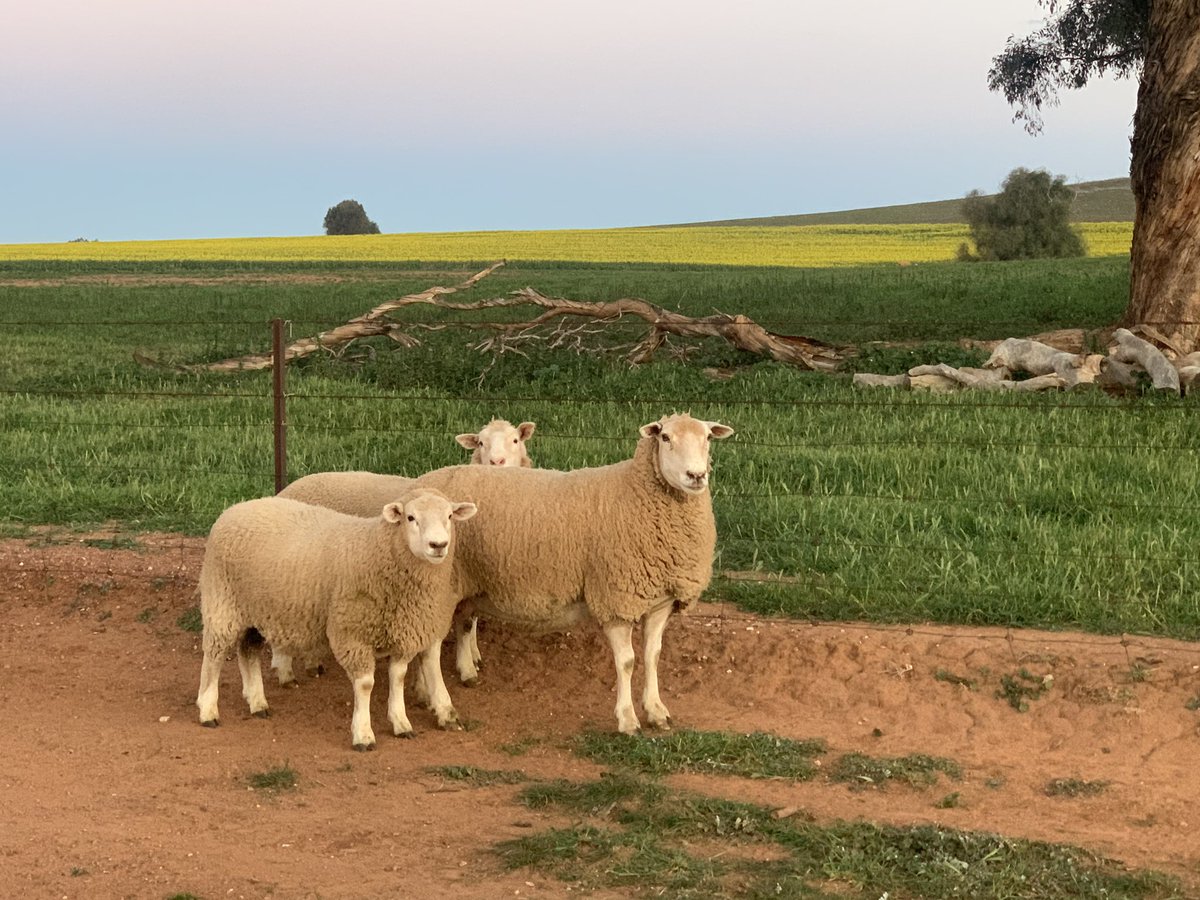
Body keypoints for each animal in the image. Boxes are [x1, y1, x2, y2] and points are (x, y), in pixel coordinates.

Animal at [195, 488, 477, 749]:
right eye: (410, 518)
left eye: (449, 516)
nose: (438, 545)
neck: (378, 549)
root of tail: (236, 507)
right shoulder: (352, 632)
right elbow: (365, 685)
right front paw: (363, 734)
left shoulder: (402, 630)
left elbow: (397, 677)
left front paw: (401, 723)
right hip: (222, 603)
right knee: (214, 656)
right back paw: (208, 710)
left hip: (255, 611)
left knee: (248, 651)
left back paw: (257, 703)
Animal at [410, 413, 734, 734]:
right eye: (665, 437)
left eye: (708, 437)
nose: (696, 476)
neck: (637, 493)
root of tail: (421, 484)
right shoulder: (614, 597)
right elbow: (627, 662)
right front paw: (627, 719)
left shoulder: (660, 601)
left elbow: (653, 656)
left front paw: (656, 711)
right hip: (439, 586)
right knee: (430, 649)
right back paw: (443, 709)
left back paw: (434, 691)